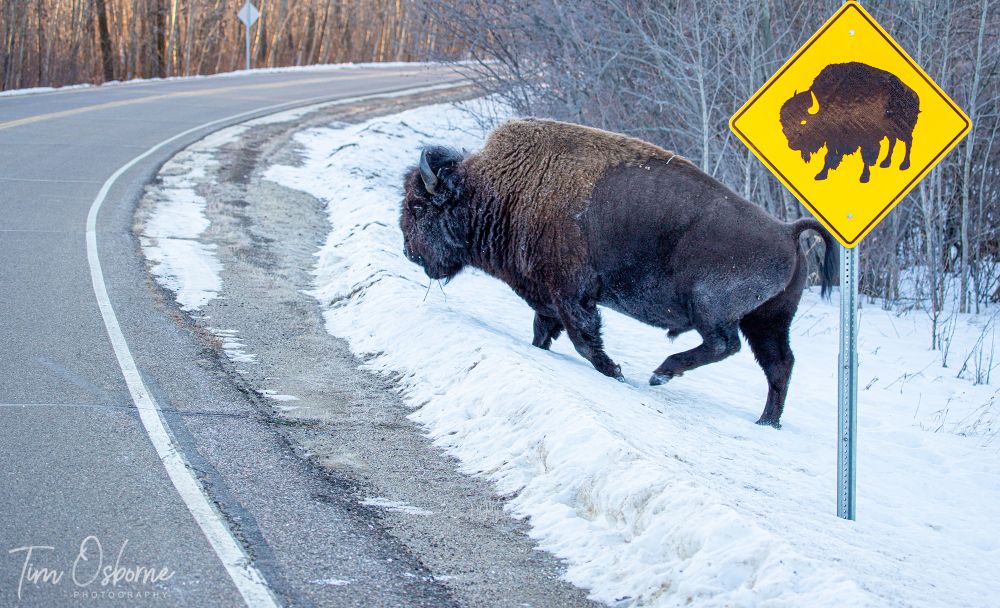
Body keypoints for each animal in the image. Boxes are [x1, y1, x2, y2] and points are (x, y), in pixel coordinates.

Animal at [400, 119, 836, 428]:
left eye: (418, 207)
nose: (407, 250)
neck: (502, 187)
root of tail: (786, 231)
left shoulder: (571, 293)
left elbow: (583, 337)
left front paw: (615, 372)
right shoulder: (548, 296)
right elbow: (545, 330)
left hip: (712, 309)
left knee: (725, 345)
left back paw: (661, 374)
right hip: (768, 321)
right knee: (778, 364)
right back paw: (766, 422)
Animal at [780, 61, 919, 183]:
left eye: (803, 121)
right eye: (785, 125)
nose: (792, 145)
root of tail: (912, 94)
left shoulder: (866, 137)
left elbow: (866, 156)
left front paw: (864, 177)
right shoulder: (834, 139)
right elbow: (829, 157)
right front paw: (821, 175)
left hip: (902, 128)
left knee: (908, 141)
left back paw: (904, 165)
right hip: (890, 131)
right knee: (893, 142)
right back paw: (885, 162)